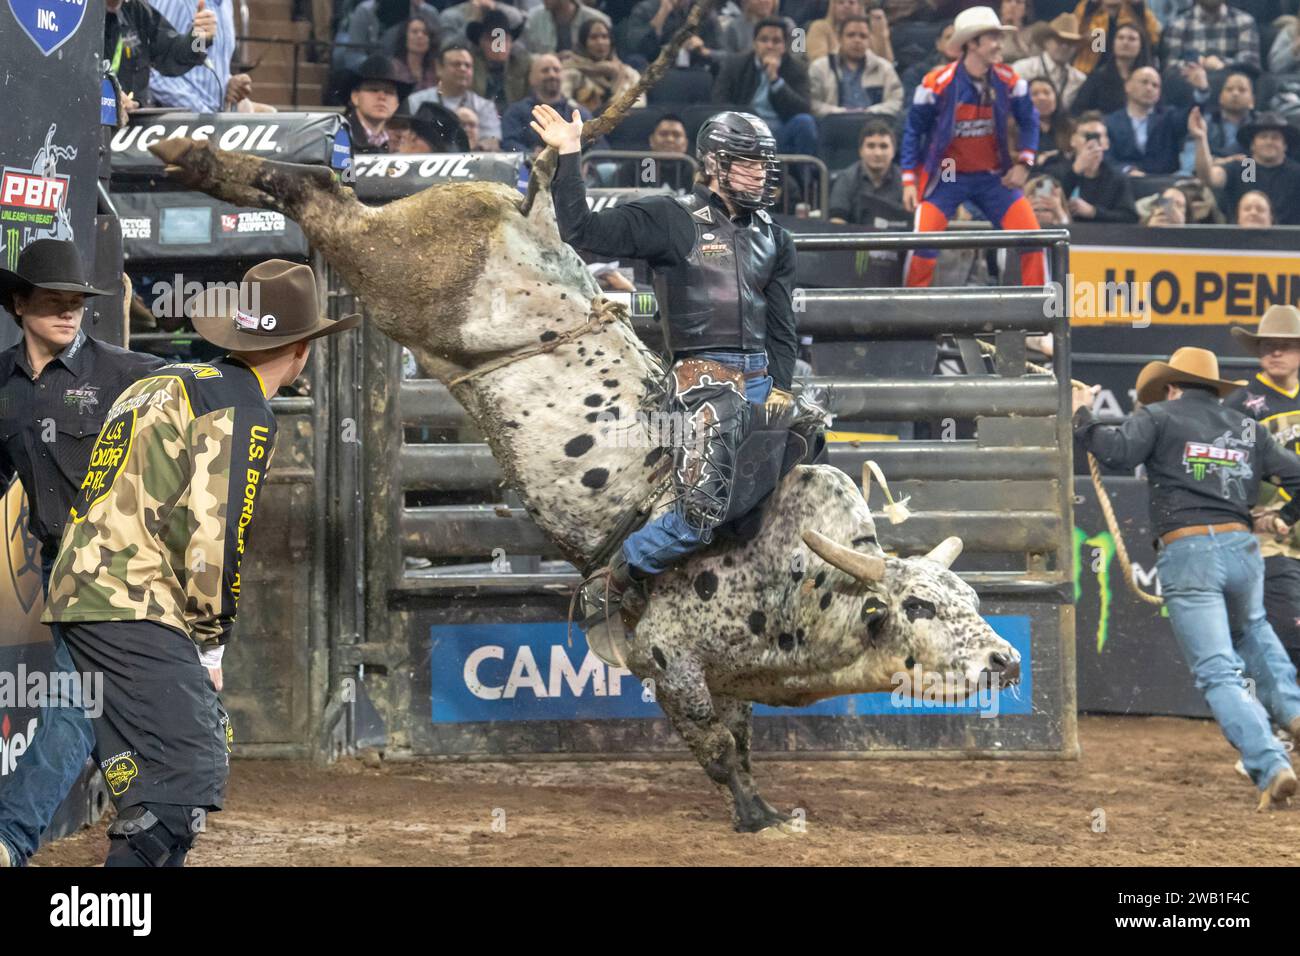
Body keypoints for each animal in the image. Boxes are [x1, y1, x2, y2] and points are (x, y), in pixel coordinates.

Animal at [149, 7, 1013, 832]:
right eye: (920, 606)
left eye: (970, 598)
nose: (1005, 661)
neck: (806, 580)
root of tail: (527, 207)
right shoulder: (671, 656)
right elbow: (713, 743)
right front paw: (757, 816)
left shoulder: (732, 674)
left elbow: (737, 736)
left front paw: (763, 804)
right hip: (395, 267)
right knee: (320, 201)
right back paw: (196, 154)